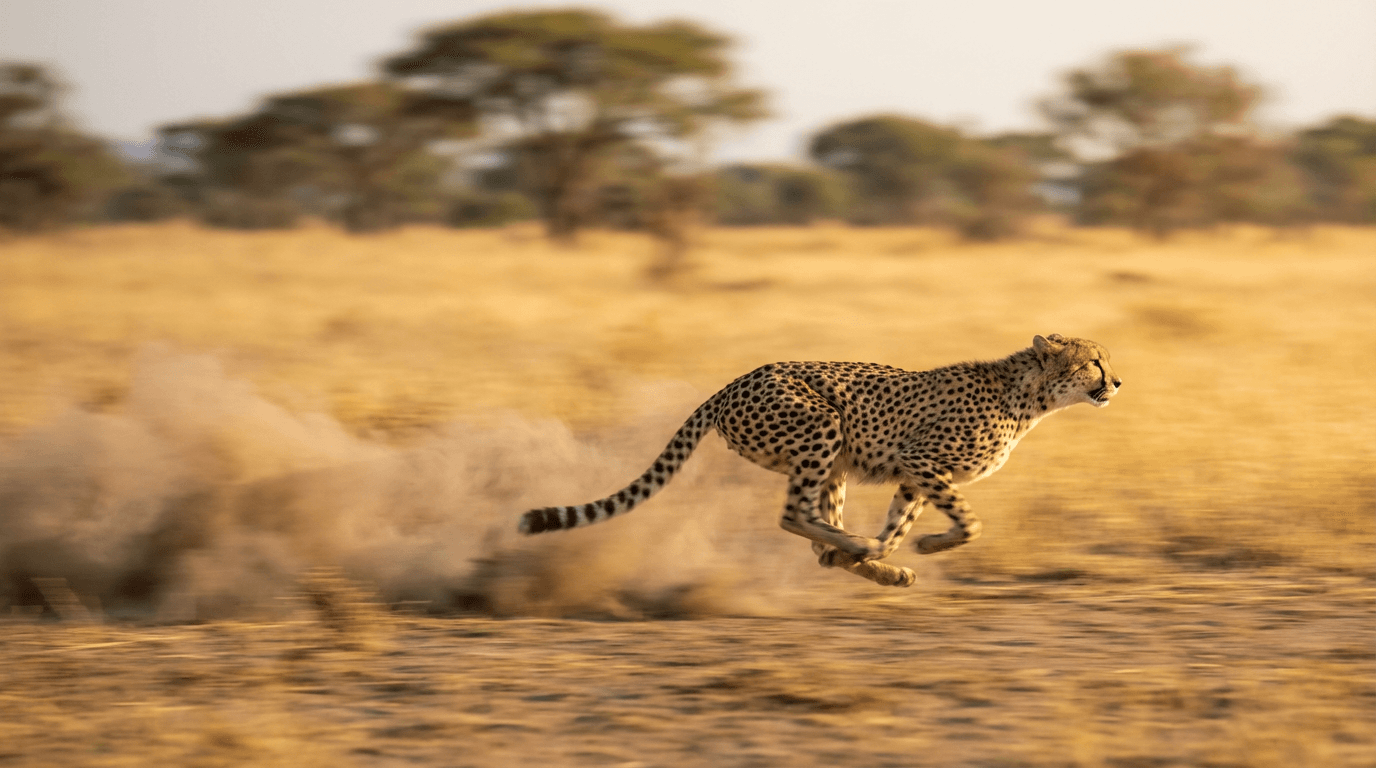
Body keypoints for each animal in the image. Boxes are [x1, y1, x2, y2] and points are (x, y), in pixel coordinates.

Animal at [519, 334, 1120, 587]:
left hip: (834, 461)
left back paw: (862, 560)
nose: (1116, 382)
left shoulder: (915, 475)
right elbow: (970, 522)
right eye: (1094, 361)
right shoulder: (923, 459)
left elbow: (898, 526)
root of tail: (736, 380)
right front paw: (927, 545)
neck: (1030, 396)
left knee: (815, 529)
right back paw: (851, 547)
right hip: (822, 426)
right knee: (794, 515)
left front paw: (890, 553)